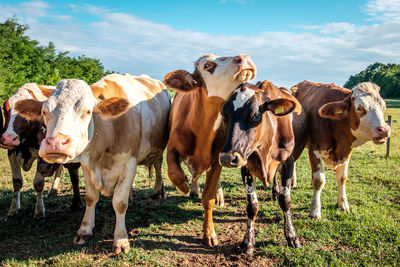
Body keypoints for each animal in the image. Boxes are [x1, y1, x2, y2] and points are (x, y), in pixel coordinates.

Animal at [0, 84, 83, 220]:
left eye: (25, 113)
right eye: (5, 109)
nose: (8, 138)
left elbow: (38, 183)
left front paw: (39, 211)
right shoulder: (11, 153)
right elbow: (17, 182)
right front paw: (13, 210)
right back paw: (54, 189)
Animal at [13, 73, 170, 255]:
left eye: (87, 112)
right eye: (44, 111)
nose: (55, 143)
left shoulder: (129, 163)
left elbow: (119, 202)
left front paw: (120, 239)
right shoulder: (87, 165)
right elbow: (90, 198)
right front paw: (85, 230)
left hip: (158, 148)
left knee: (158, 165)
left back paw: (159, 191)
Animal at [163, 53, 255, 248]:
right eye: (207, 65)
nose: (243, 57)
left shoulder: (217, 159)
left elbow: (208, 198)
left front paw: (209, 233)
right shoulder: (172, 147)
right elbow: (174, 172)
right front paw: (183, 186)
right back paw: (192, 189)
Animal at [219, 81, 300, 255]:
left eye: (255, 115)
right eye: (224, 115)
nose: (227, 158)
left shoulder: (288, 162)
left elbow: (285, 200)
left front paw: (291, 236)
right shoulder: (246, 166)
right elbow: (252, 205)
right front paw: (248, 242)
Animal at [290, 81, 390, 220]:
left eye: (383, 107)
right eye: (359, 108)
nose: (384, 130)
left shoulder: (347, 152)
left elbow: (342, 178)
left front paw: (343, 204)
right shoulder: (314, 149)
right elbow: (319, 180)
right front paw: (315, 210)